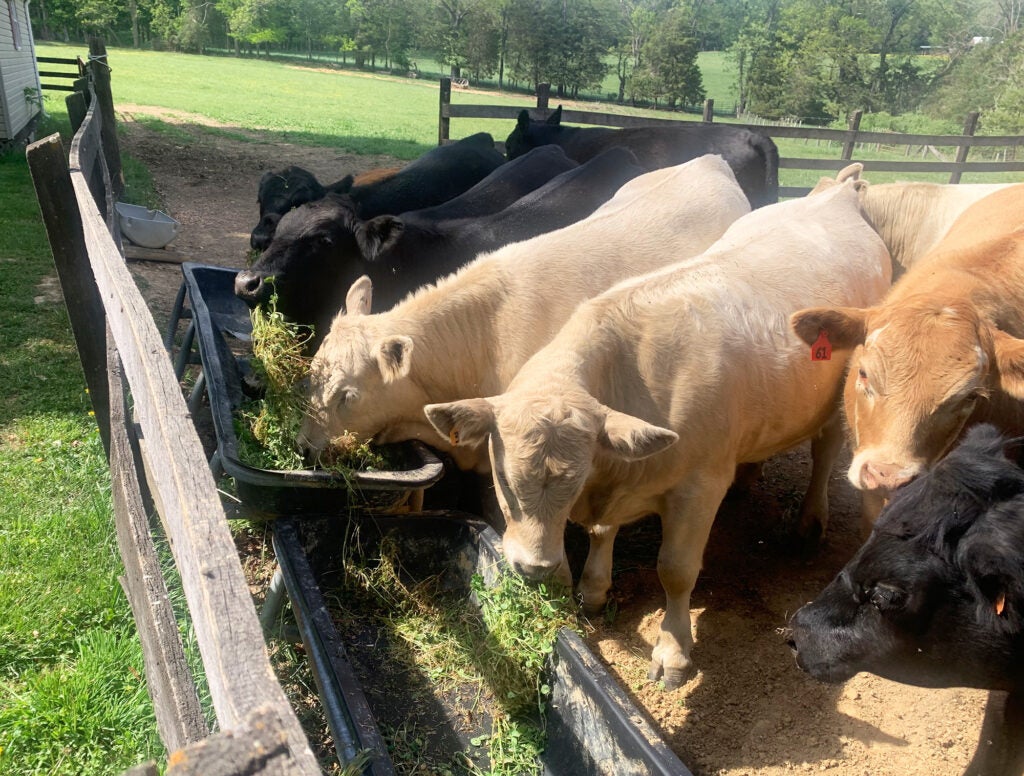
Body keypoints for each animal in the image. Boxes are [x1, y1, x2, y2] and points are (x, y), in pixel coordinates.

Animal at [421, 178, 891, 690]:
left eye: (571, 480)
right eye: (503, 478)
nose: (535, 567)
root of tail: (837, 191)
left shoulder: (700, 485)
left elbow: (676, 571)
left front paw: (673, 652)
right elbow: (602, 532)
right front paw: (593, 590)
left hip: (842, 399)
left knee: (825, 453)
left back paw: (809, 524)